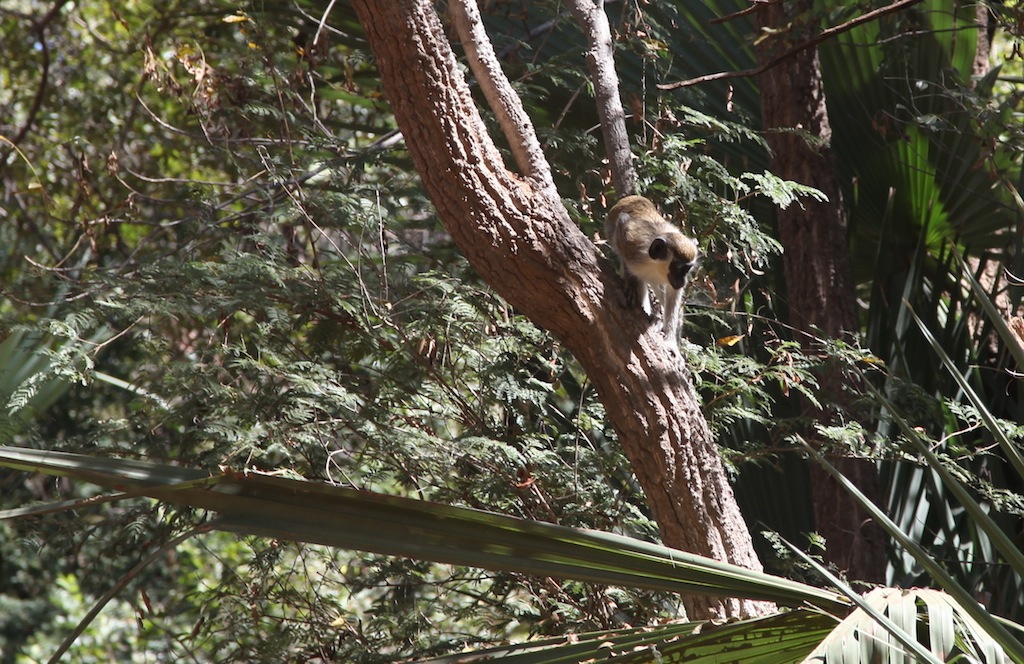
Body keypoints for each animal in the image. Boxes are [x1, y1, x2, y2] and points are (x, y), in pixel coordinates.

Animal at [602, 194, 700, 344]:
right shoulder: (631, 243)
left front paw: (670, 340)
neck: (655, 264)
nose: (683, 281)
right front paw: (631, 283)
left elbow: (673, 294)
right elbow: (623, 224)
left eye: (687, 269)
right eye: (678, 268)